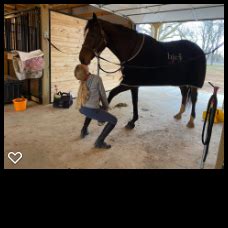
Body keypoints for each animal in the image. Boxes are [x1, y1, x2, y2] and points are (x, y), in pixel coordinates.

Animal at [79, 13, 207, 129]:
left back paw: (191, 121)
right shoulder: (133, 84)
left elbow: (112, 94)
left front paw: (102, 118)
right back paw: (179, 114)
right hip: (181, 82)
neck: (132, 50)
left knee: (194, 99)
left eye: (93, 35)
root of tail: (199, 50)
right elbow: (134, 101)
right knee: (184, 94)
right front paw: (132, 122)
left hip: (193, 84)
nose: (82, 58)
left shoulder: (128, 83)